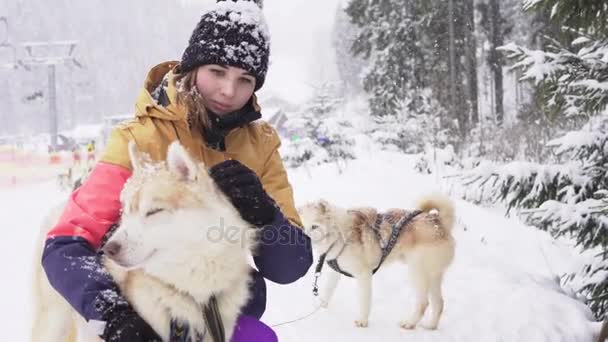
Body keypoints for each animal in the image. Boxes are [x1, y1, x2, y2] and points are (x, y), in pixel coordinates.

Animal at [296, 195, 454, 332]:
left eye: (314, 227)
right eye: (301, 226)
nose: (304, 240)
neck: (340, 234)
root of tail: (438, 222)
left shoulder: (364, 275)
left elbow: (364, 302)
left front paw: (362, 321)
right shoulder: (336, 271)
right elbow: (328, 290)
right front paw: (321, 305)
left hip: (417, 274)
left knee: (423, 303)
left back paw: (409, 323)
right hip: (432, 277)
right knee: (439, 303)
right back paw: (431, 326)